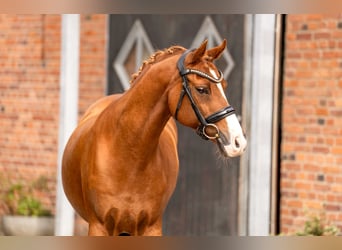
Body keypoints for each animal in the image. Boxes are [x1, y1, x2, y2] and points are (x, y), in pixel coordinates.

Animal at [61, 40, 247, 235]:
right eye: (202, 89)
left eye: (224, 86)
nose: (238, 142)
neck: (128, 153)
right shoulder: (99, 226)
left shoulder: (152, 227)